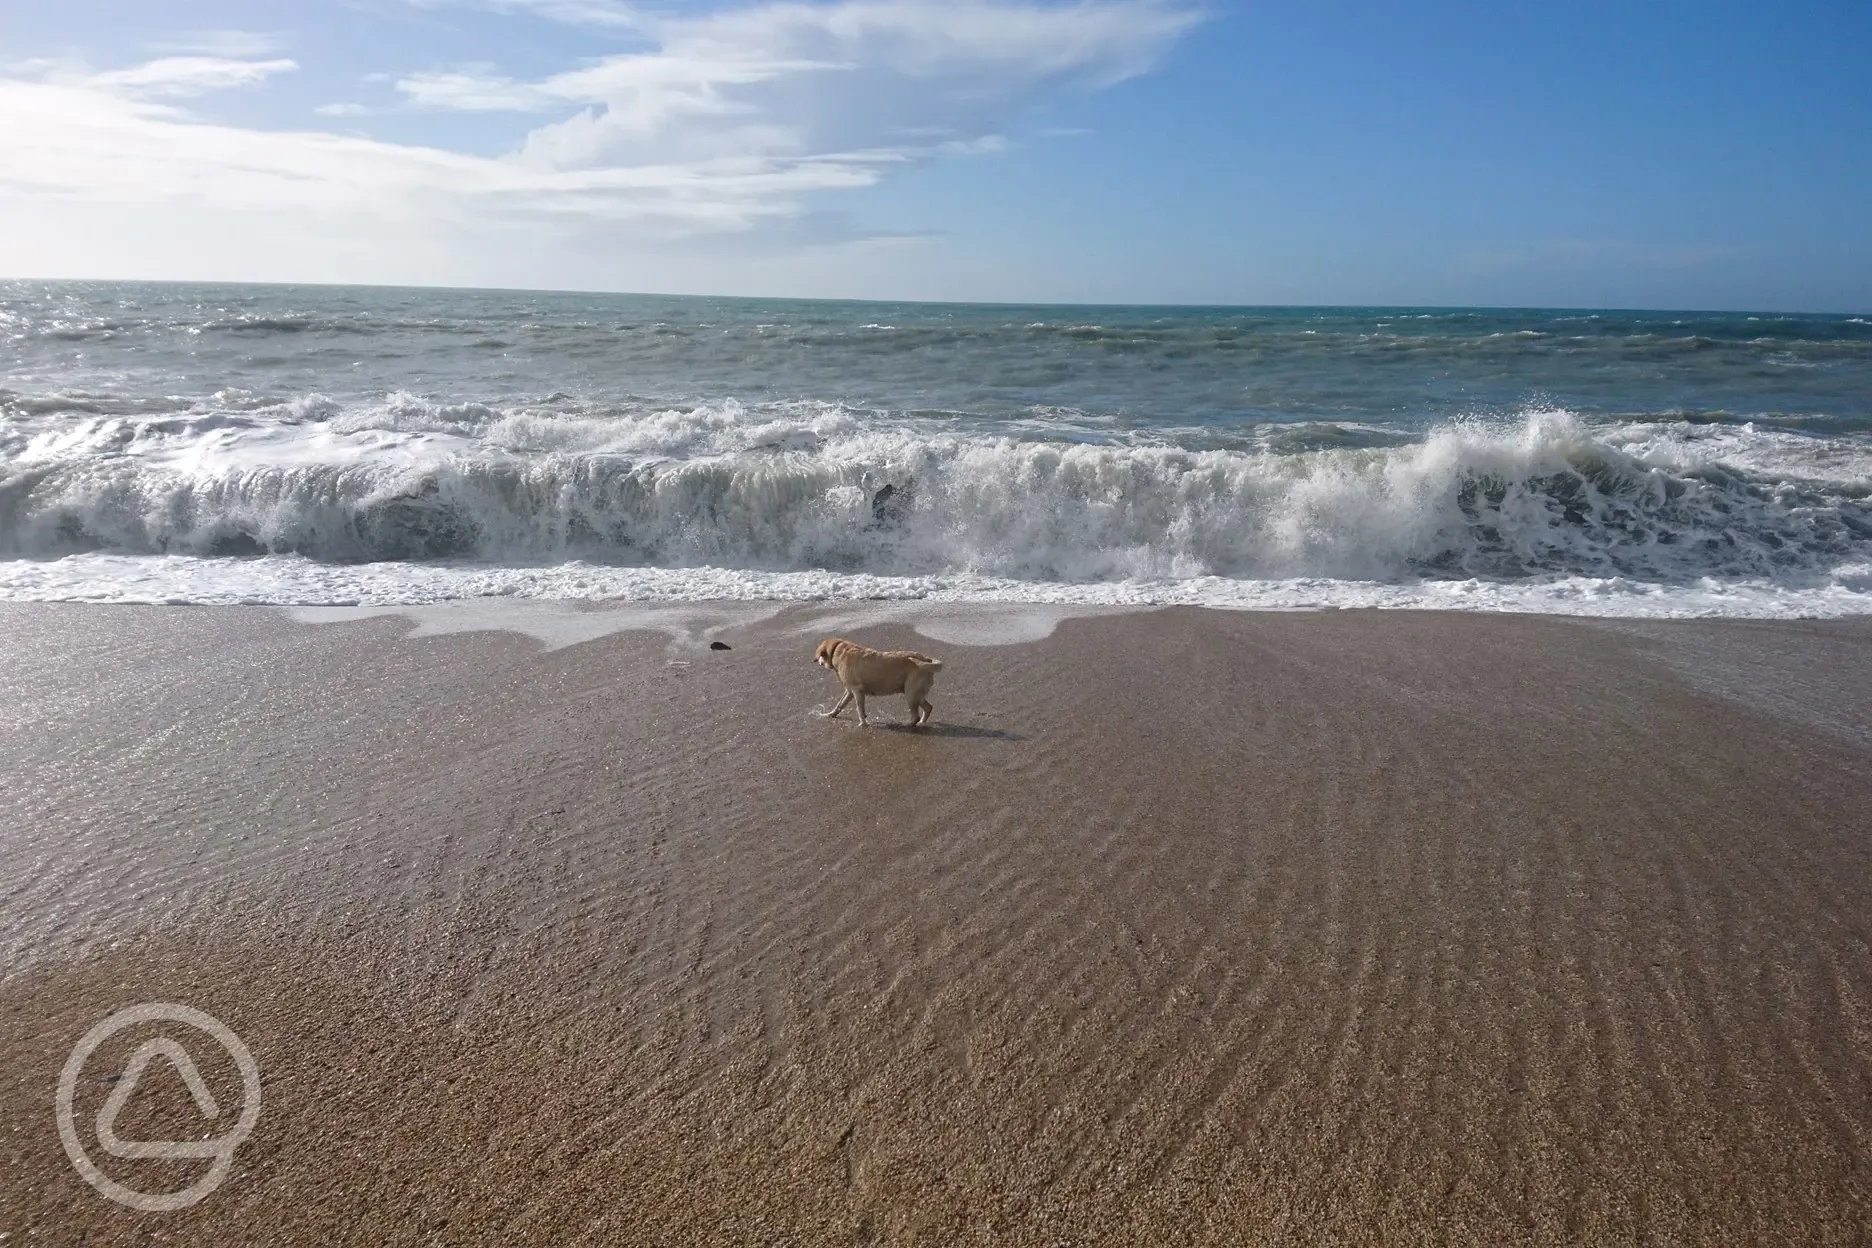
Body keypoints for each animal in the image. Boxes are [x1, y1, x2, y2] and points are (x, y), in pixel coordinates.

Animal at [812, 639, 943, 725]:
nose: (816, 660)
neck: (837, 650)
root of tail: (926, 659)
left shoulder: (857, 690)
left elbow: (859, 709)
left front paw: (863, 724)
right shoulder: (849, 691)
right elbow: (839, 704)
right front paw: (831, 714)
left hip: (910, 693)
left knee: (915, 715)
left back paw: (908, 725)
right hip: (916, 693)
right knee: (928, 707)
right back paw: (921, 722)